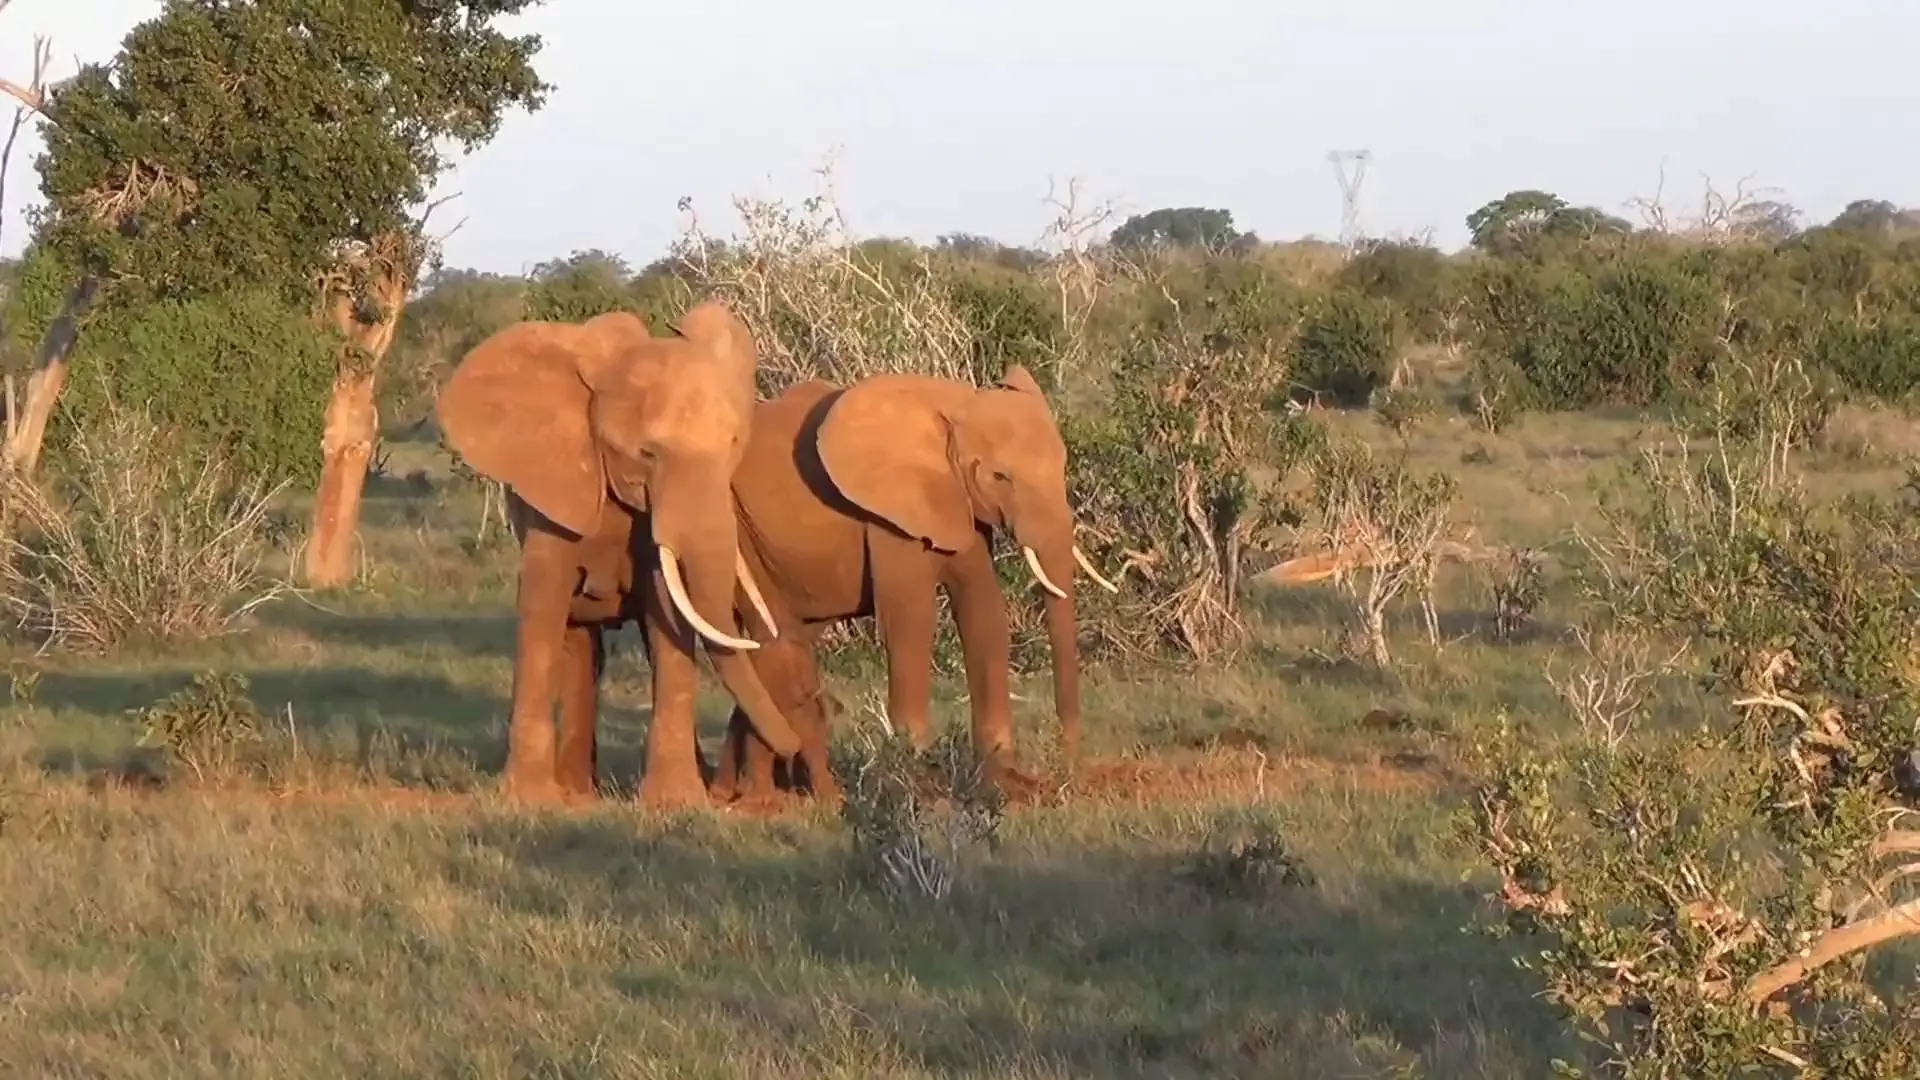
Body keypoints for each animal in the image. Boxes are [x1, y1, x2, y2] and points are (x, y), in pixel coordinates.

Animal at [434, 302, 802, 808]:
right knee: (578, 641)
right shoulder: (555, 497)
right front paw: (529, 798)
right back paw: (573, 791)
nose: (793, 750)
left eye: (732, 444)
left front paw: (675, 802)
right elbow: (542, 608)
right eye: (647, 454)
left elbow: (667, 622)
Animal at [707, 365, 1119, 803]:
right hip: (737, 533)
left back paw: (735, 791)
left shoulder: (959, 503)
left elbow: (983, 610)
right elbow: (911, 620)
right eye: (999, 476)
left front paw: (1000, 774)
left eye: (1063, 465)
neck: (957, 409)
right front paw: (916, 771)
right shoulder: (890, 515)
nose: (1069, 758)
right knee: (773, 638)